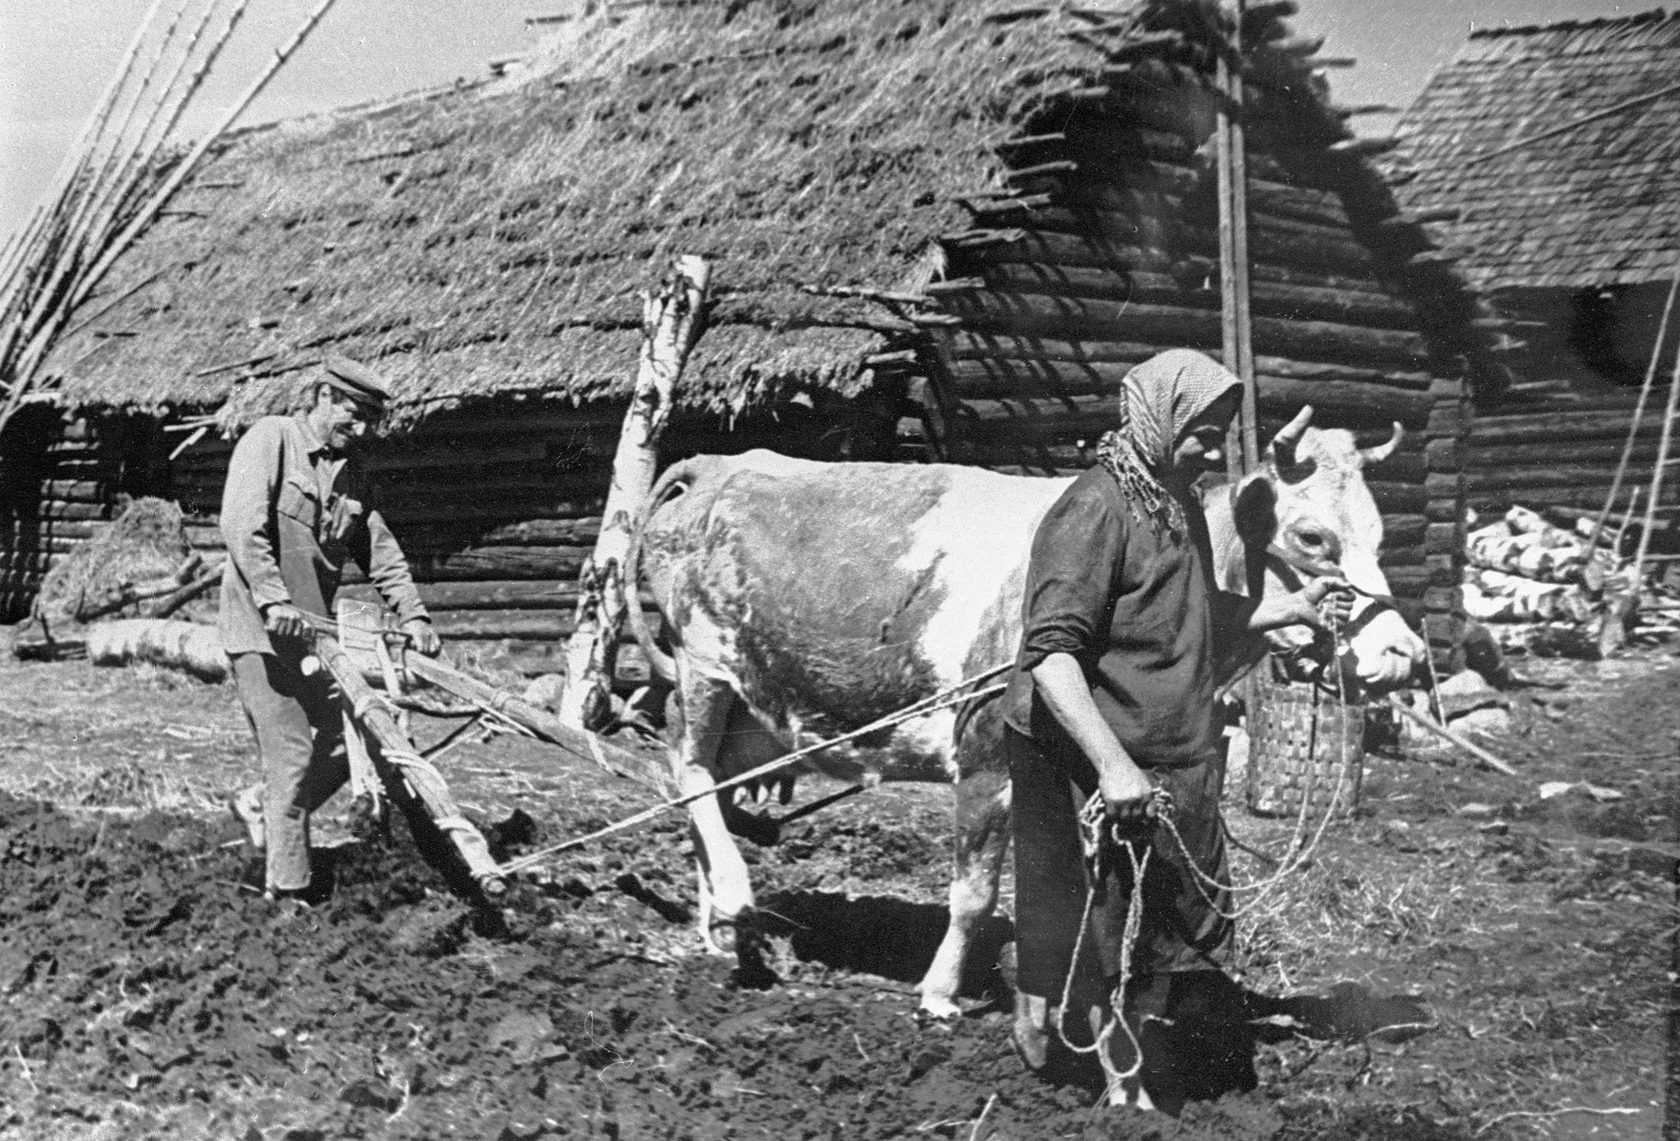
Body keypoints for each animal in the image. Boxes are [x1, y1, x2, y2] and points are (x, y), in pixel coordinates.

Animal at [628, 410, 1417, 1014]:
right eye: (1313, 537)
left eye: (1382, 535)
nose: (1402, 652)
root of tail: (721, 462)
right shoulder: (986, 756)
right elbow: (974, 894)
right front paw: (941, 994)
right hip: (704, 669)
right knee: (686, 770)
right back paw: (734, 899)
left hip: (762, 712)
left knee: (708, 785)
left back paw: (719, 921)